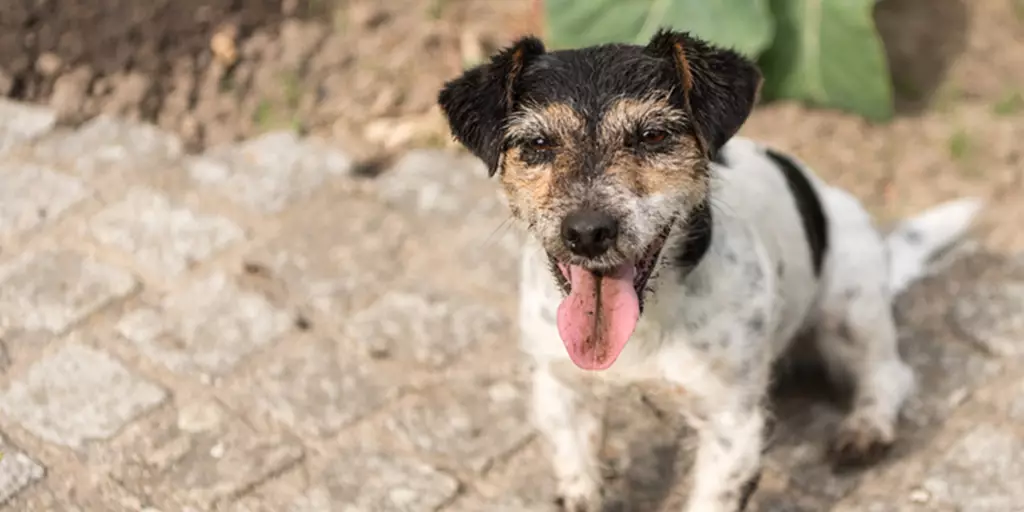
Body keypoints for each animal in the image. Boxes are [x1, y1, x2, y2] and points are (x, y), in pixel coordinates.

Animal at [436, 29, 978, 512]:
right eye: (538, 143)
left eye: (653, 135)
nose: (587, 232)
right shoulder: (561, 391)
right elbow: (577, 474)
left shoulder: (732, 424)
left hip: (850, 309)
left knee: (889, 374)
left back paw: (867, 427)